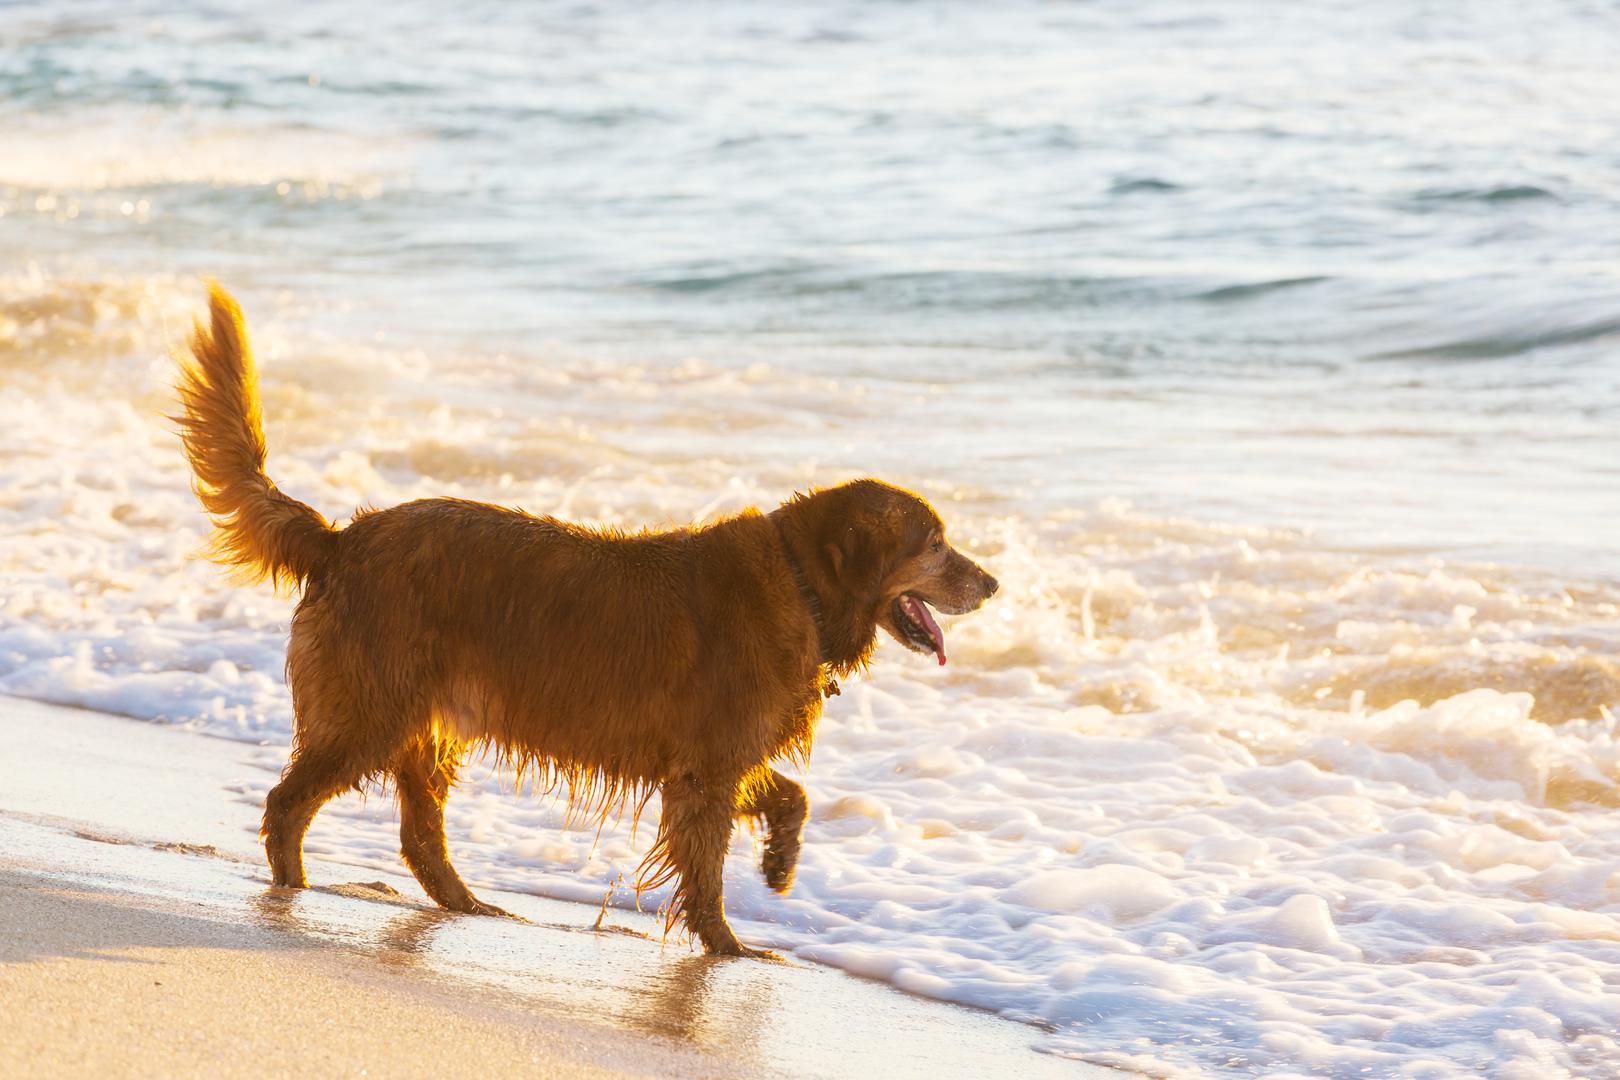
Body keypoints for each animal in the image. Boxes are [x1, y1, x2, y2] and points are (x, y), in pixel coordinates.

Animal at [170, 284, 991, 952]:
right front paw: (728, 945)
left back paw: (468, 903)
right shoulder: (706, 768)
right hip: (369, 710)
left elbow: (792, 795)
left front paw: (781, 866)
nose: (992, 582)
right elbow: (708, 870)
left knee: (419, 835)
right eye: (936, 543)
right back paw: (295, 889)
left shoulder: (712, 757)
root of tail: (343, 537)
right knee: (288, 803)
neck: (801, 579)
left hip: (424, 722)